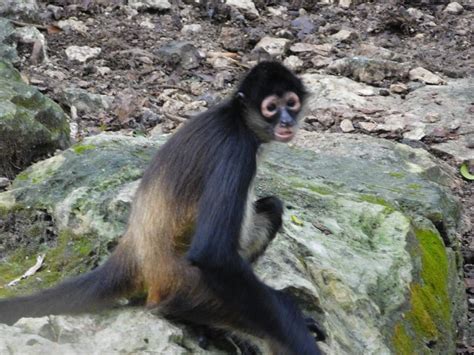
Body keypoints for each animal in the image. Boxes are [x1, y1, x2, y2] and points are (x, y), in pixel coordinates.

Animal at [0, 62, 322, 354]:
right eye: (271, 107)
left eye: (291, 103)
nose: (286, 121)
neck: (235, 119)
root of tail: (136, 252)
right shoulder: (236, 148)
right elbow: (213, 255)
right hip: (191, 290)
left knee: (272, 207)